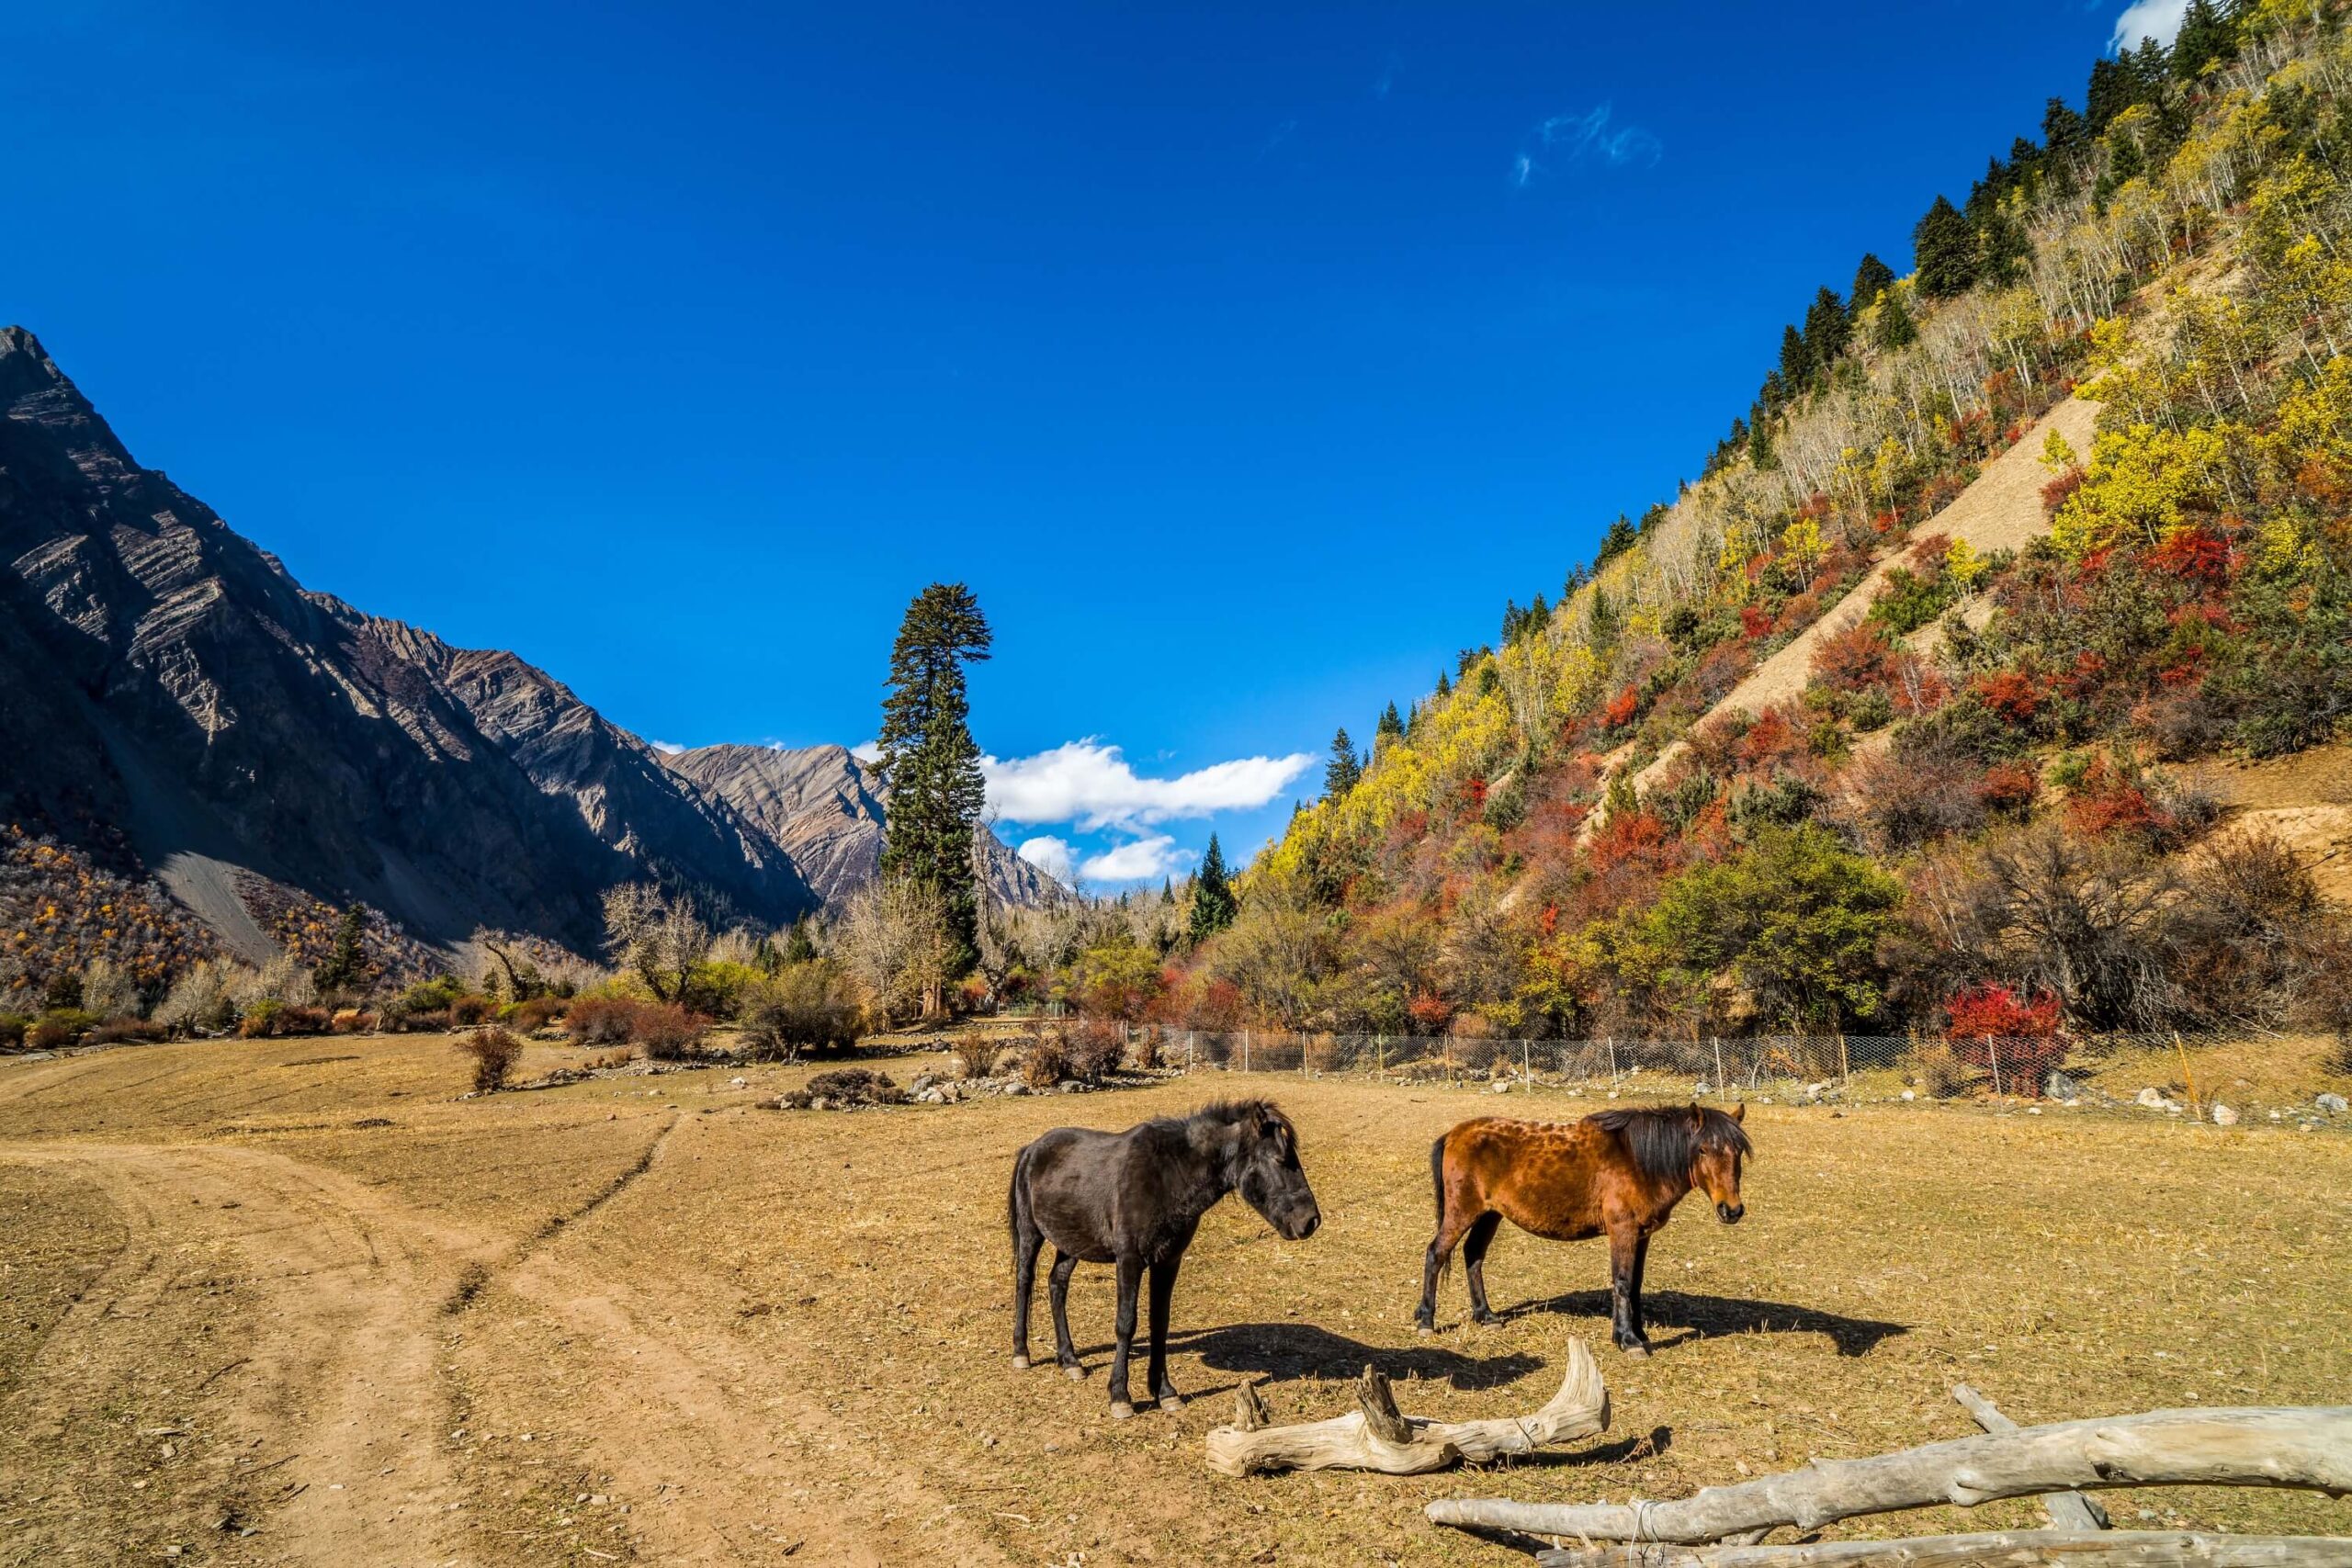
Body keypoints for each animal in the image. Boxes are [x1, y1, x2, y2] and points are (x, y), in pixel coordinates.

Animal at [1009, 1098, 1322, 1419]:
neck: (1167, 1177)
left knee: (1056, 1285)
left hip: (1072, 1244)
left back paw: (1070, 1360)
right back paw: (1022, 1353)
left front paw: (1165, 1392)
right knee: (1025, 1282)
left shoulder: (1168, 1261)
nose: (1310, 1221)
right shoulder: (1129, 1260)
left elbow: (1159, 1322)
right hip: (1031, 1234)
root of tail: (1032, 1149)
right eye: (1280, 1159)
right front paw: (1120, 1396)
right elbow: (1126, 1323)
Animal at [1414, 1102, 1750, 1355]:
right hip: (1462, 1213)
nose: (1731, 1210)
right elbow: (1623, 1282)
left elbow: (1635, 1285)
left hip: (1489, 1215)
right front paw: (1627, 1340)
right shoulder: (1623, 1231)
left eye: (1738, 1152)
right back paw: (1426, 1320)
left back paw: (1486, 1316)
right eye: (1703, 1150)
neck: (1638, 1160)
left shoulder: (1642, 1235)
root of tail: (1454, 1134)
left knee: (1473, 1256)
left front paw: (1639, 1334)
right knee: (1436, 1253)